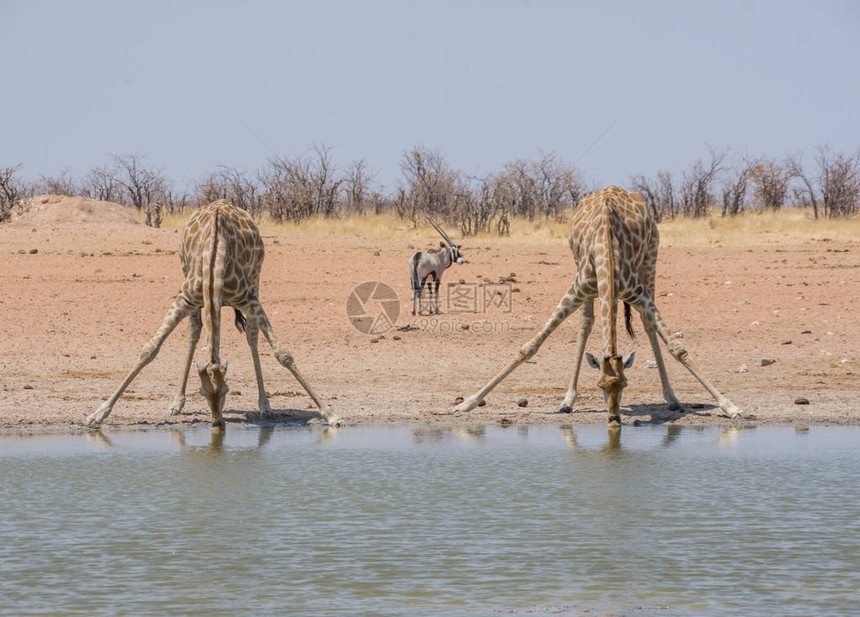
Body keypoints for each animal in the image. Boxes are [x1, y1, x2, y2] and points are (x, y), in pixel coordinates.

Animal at [84, 201, 340, 428]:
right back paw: (176, 403)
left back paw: (265, 406)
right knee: (194, 332)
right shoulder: (184, 299)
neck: (215, 257)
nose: (218, 423)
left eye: (227, 390)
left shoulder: (250, 300)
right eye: (202, 392)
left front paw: (330, 414)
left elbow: (283, 354)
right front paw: (97, 414)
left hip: (256, 278)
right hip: (187, 279)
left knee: (252, 336)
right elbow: (149, 350)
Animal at [454, 184, 744, 424]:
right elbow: (529, 348)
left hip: (650, 259)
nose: (614, 418)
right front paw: (467, 403)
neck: (608, 251)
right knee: (587, 324)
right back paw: (567, 400)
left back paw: (671, 398)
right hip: (583, 276)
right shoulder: (576, 289)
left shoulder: (638, 294)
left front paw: (730, 406)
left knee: (647, 325)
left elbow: (678, 348)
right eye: (600, 386)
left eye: (625, 385)